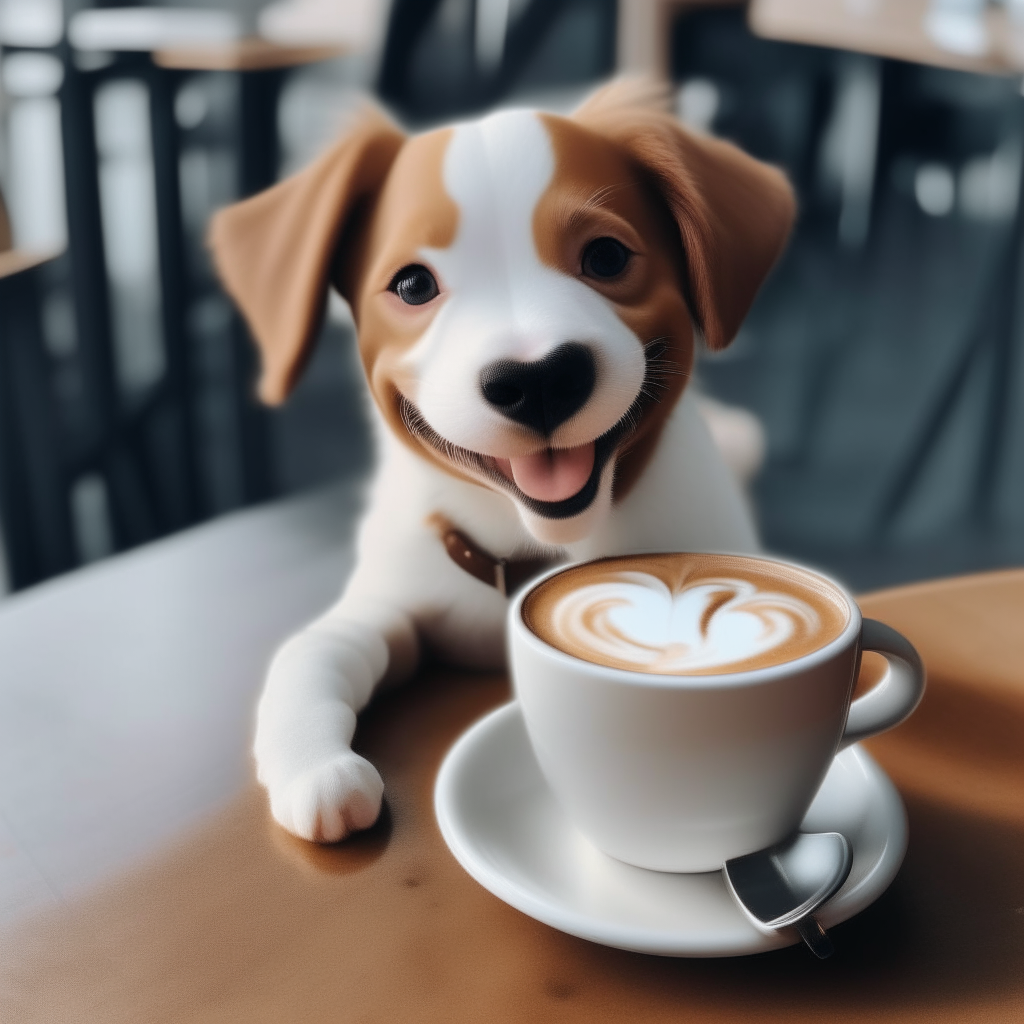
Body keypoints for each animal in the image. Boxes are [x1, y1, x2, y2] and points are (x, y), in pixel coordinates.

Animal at [211, 79, 794, 843]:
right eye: (413, 285)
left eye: (607, 258)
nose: (539, 379)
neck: (529, 548)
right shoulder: (389, 602)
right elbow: (311, 652)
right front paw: (315, 765)